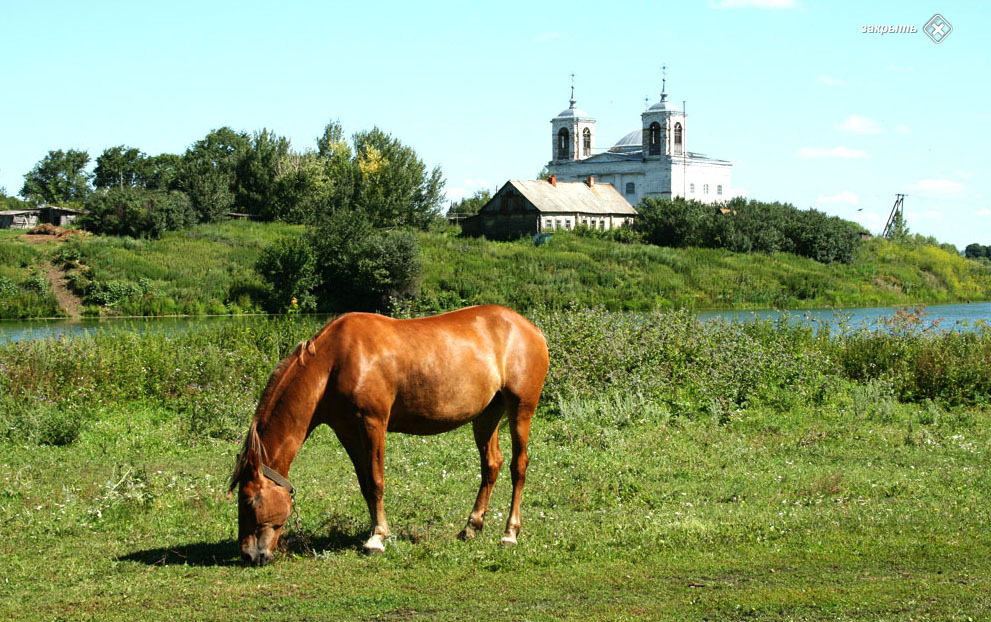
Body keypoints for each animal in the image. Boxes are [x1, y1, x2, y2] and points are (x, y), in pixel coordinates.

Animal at [229, 306, 552, 564]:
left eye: (249, 501)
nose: (248, 554)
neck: (334, 363)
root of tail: (532, 329)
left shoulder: (373, 423)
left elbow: (376, 481)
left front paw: (377, 538)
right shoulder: (347, 430)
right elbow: (364, 483)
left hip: (520, 409)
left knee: (518, 466)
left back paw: (510, 533)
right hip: (487, 415)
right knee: (491, 465)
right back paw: (471, 527)